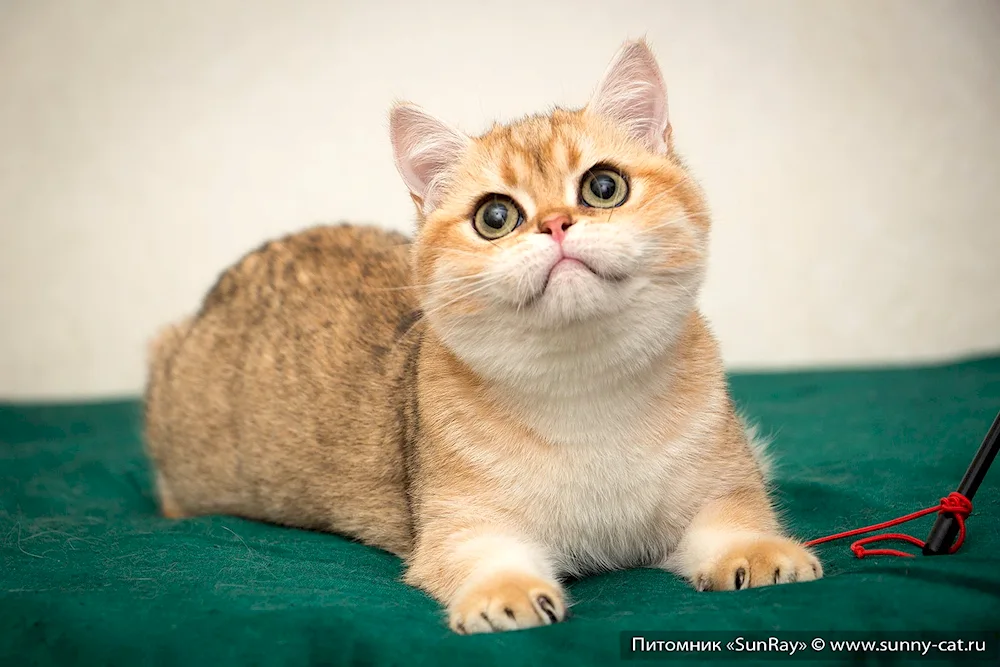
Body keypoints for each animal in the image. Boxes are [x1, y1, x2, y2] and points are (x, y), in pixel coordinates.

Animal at [146, 39, 820, 636]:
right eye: (496, 217)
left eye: (604, 187)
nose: (557, 224)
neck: (584, 385)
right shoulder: (461, 520)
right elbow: (480, 553)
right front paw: (507, 592)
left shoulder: (719, 484)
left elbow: (735, 516)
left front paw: (762, 553)